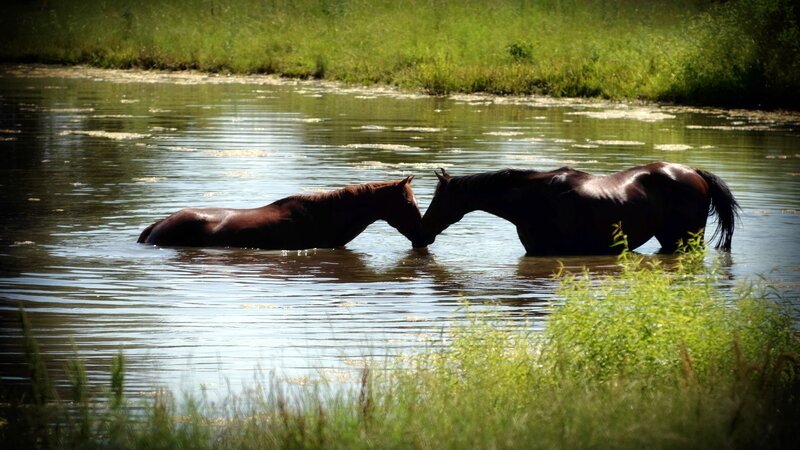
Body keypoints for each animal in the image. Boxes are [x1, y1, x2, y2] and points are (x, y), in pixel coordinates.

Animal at [412, 162, 739, 255]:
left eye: (439, 199)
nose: (420, 235)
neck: (530, 200)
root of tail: (695, 173)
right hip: (670, 240)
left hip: (687, 239)